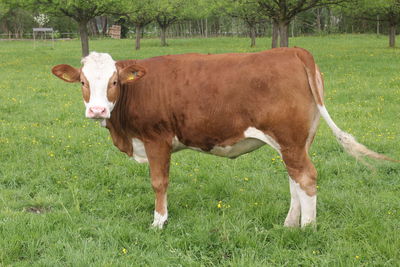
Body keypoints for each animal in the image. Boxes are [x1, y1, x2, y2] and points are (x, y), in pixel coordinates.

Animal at [50, 47, 396, 228]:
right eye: (82, 82)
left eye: (114, 82)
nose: (96, 110)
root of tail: (291, 50)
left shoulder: (156, 139)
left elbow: (159, 183)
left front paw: (158, 222)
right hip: (296, 142)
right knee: (295, 180)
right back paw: (289, 225)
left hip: (290, 139)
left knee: (306, 178)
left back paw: (308, 229)